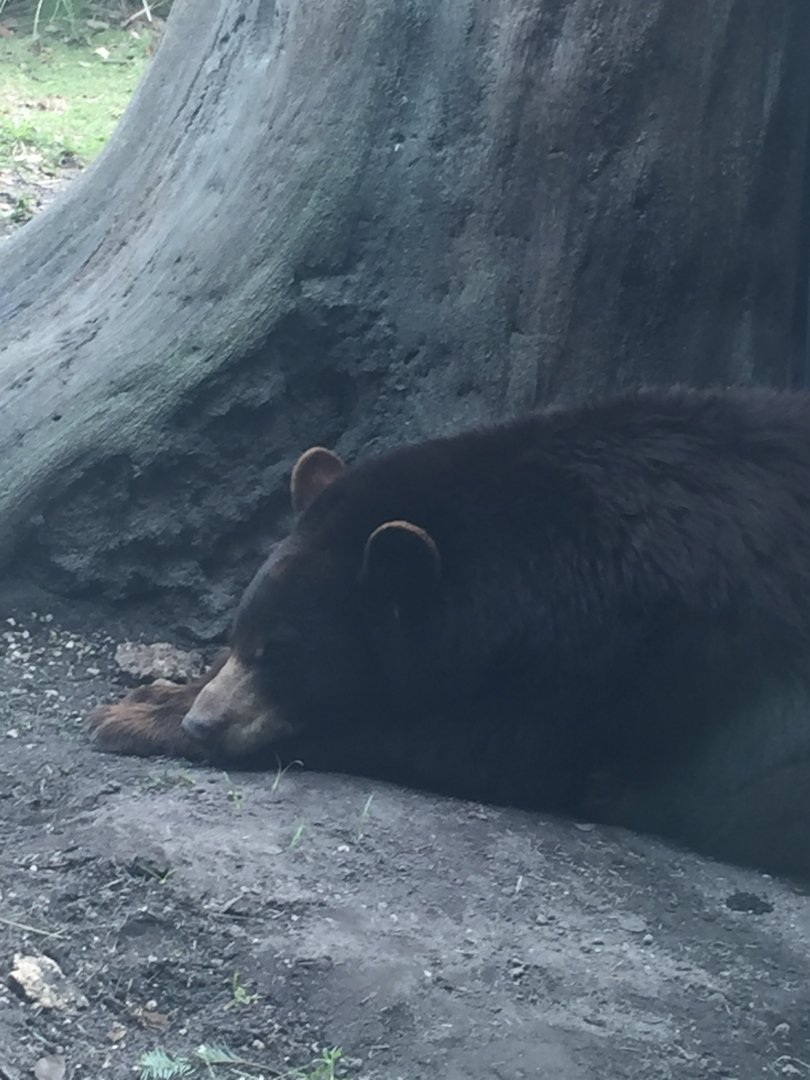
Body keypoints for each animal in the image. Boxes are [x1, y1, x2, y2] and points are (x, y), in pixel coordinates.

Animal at [88, 385, 810, 878]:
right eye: (242, 637)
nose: (203, 724)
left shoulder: (632, 665)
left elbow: (471, 745)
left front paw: (139, 716)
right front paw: (158, 694)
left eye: (283, 656)